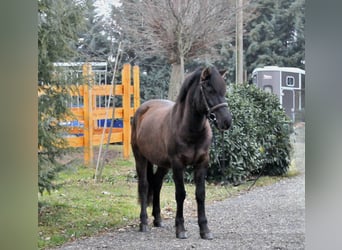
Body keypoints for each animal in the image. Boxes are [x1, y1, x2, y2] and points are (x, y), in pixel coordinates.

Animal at [131, 66, 232, 240]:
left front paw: (205, 230)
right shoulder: (178, 164)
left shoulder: (202, 163)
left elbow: (200, 194)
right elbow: (180, 194)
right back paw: (143, 223)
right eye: (209, 89)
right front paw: (180, 229)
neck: (189, 129)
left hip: (163, 164)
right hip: (140, 158)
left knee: (156, 183)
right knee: (144, 186)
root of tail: (142, 109)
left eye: (224, 90)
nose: (227, 121)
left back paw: (158, 219)